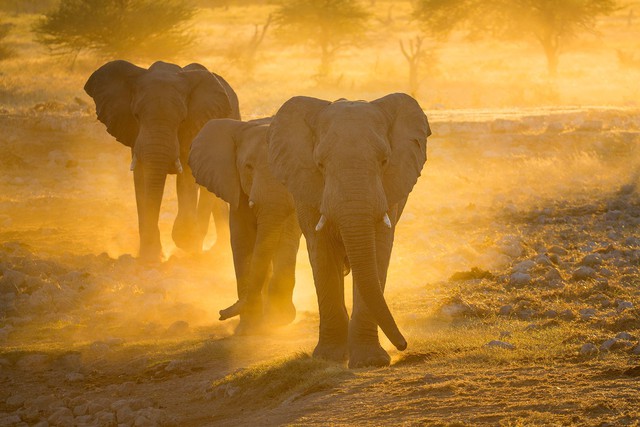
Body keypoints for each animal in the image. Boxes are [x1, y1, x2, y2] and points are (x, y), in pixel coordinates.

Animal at [82, 59, 238, 260]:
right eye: (136, 116)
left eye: (182, 120)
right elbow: (141, 178)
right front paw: (149, 256)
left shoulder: (195, 126)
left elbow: (187, 177)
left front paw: (184, 240)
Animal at [189, 118, 302, 332]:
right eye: (248, 167)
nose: (221, 313)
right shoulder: (236, 190)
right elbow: (242, 240)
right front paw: (248, 328)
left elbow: (287, 237)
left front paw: (279, 319)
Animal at [264, 93, 430, 368]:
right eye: (320, 164)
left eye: (384, 161)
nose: (404, 345)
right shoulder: (309, 191)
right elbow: (321, 253)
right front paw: (327, 358)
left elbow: (378, 252)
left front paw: (370, 362)